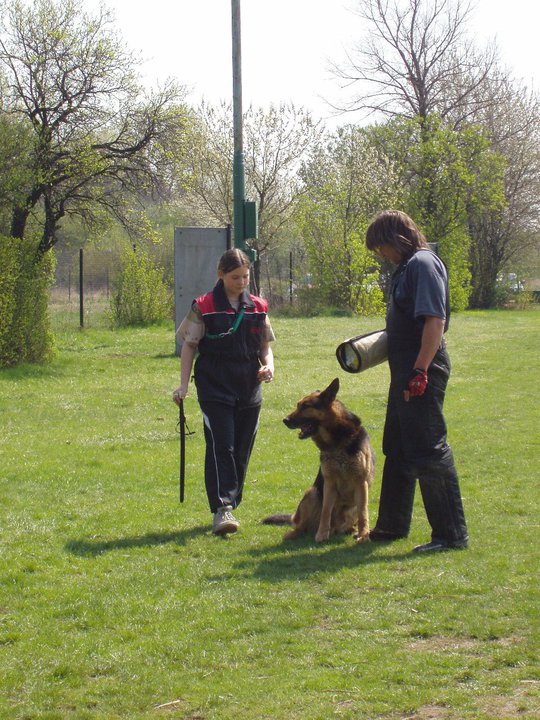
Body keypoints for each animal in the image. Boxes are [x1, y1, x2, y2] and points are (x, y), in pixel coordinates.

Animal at [262, 380, 374, 544]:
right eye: (298, 405)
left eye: (305, 406)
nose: (285, 420)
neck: (337, 443)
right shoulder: (329, 483)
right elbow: (326, 510)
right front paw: (321, 534)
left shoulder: (361, 483)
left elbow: (363, 512)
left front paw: (364, 534)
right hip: (312, 493)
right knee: (301, 526)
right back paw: (294, 534)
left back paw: (351, 530)